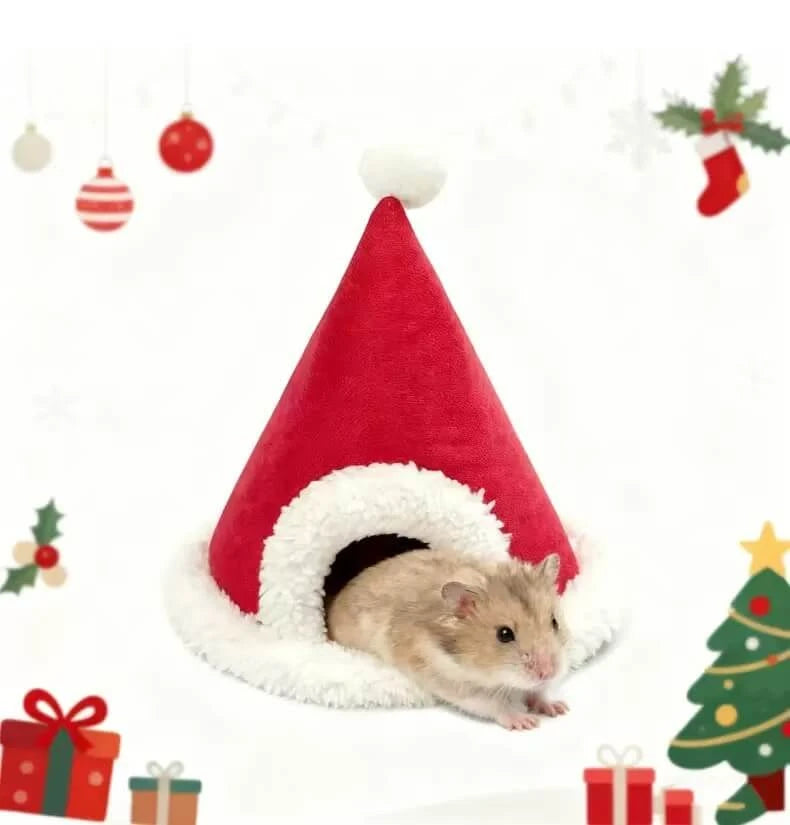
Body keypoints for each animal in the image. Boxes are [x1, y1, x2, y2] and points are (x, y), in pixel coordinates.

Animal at [326, 547, 570, 730]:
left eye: (554, 622)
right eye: (504, 634)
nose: (548, 672)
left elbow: (539, 691)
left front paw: (559, 708)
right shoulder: (450, 680)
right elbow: (494, 703)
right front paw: (527, 722)